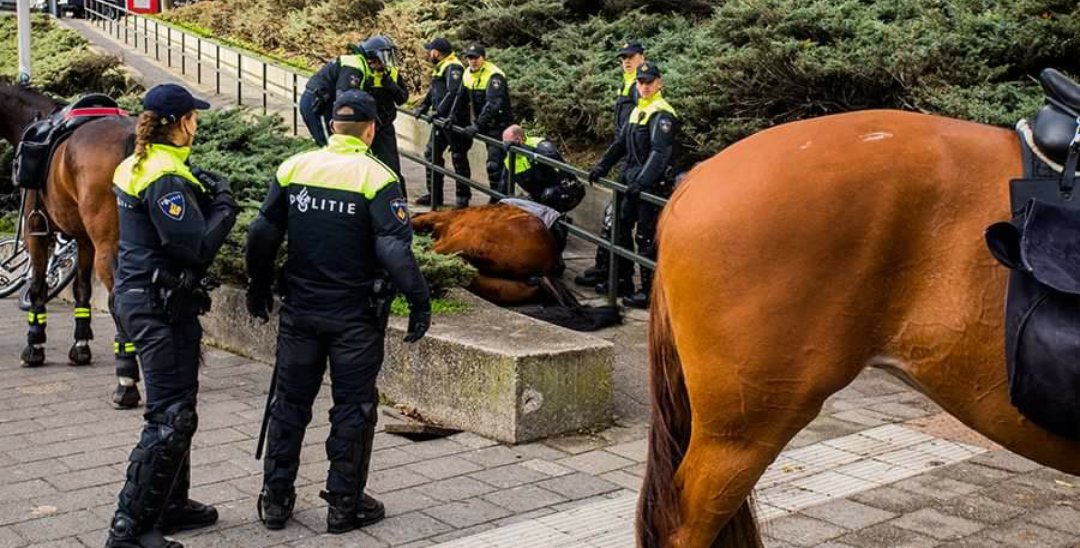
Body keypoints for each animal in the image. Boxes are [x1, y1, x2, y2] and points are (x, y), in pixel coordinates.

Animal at [0, 82, 141, 408]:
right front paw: (80, 345)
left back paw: (126, 383)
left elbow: (37, 285)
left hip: (108, 245)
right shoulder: (82, 239)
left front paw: (34, 346)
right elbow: (82, 290)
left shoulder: (36, 231)